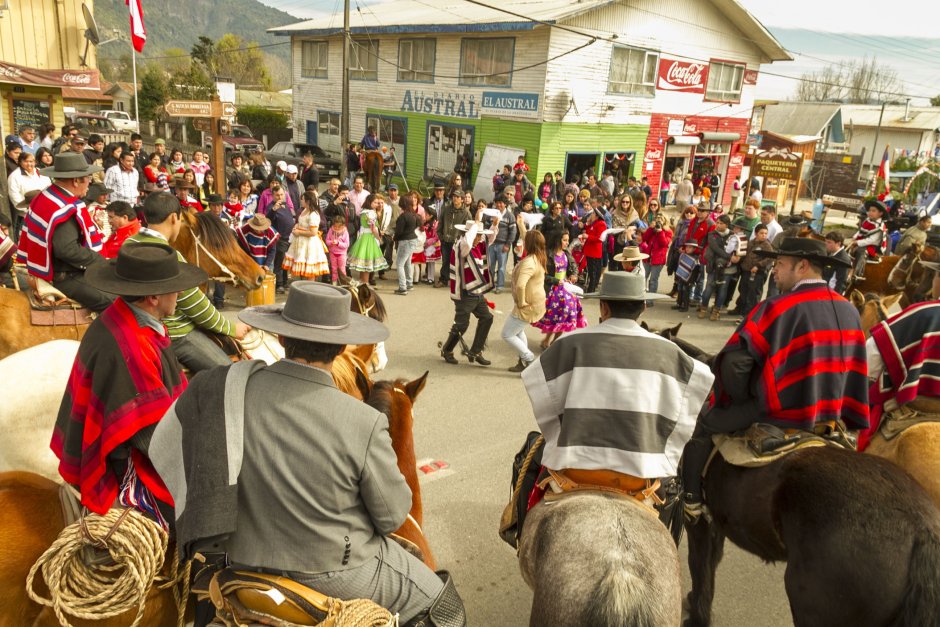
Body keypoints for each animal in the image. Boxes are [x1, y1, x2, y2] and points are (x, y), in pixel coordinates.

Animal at [656, 332, 940, 624]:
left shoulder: (700, 524)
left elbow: (701, 568)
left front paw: (697, 615)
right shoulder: (716, 523)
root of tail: (923, 531)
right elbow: (709, 567)